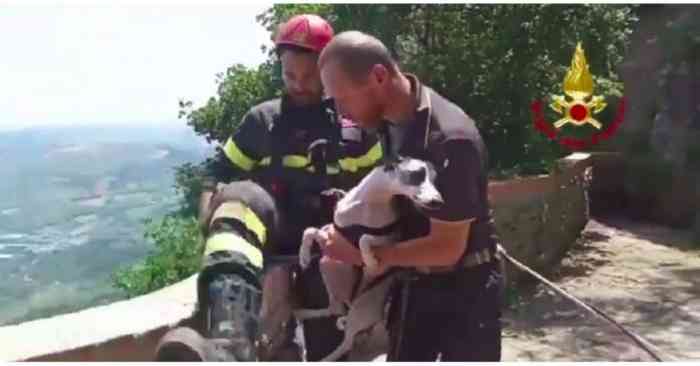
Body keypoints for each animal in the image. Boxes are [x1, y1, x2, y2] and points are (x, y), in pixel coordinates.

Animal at [296, 157, 442, 360]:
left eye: (435, 179)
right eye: (416, 175)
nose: (438, 201)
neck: (368, 203)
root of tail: (352, 300)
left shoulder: (389, 239)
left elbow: (364, 239)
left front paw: (371, 262)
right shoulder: (335, 232)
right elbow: (310, 230)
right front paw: (303, 255)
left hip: (362, 309)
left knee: (347, 342)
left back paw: (326, 358)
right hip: (328, 265)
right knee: (335, 309)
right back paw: (303, 313)